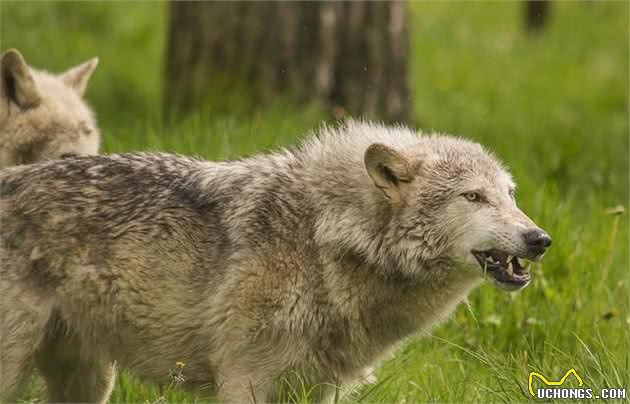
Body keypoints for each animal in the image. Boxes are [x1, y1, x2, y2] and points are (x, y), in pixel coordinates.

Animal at [0, 121, 552, 402]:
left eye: (509, 195)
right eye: (473, 197)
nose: (540, 239)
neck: (322, 237)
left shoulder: (319, 388)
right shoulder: (244, 380)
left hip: (89, 380)